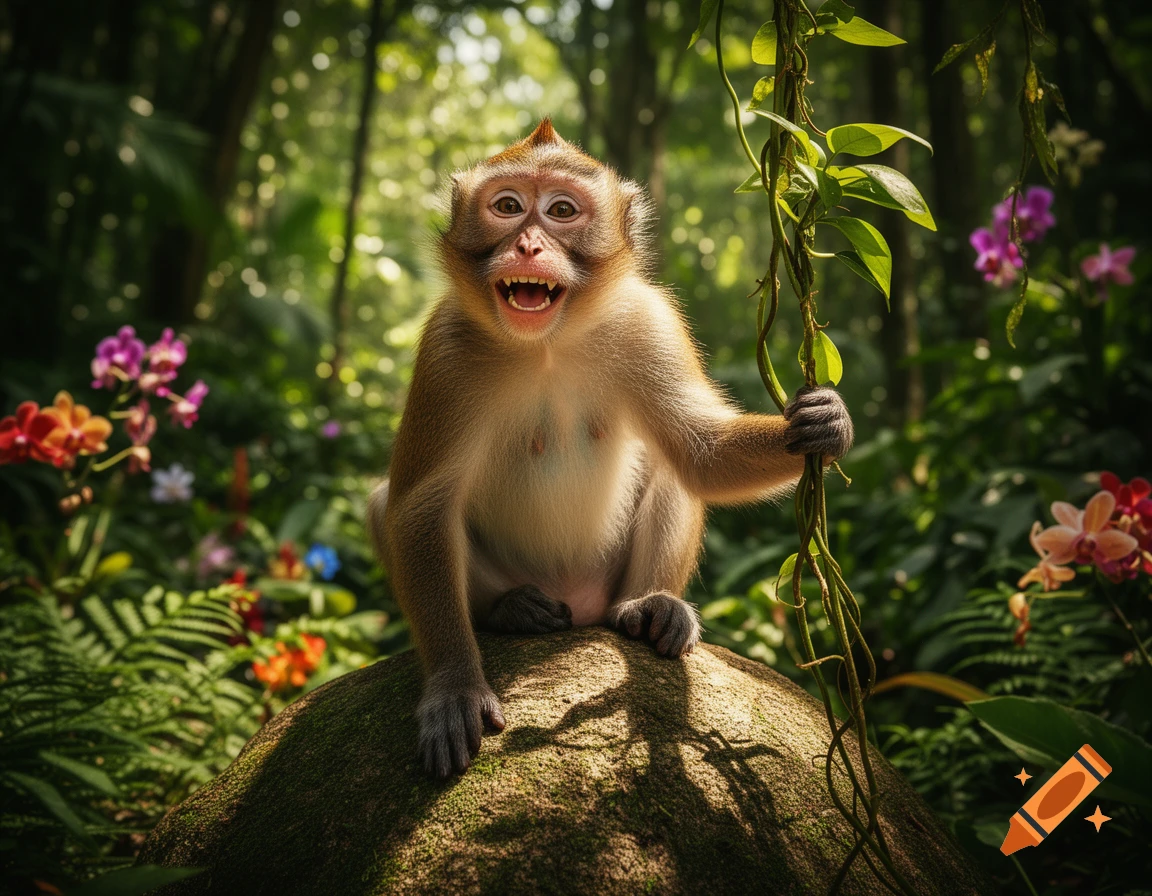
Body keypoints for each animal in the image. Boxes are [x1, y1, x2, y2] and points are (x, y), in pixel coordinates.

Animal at [367, 120, 853, 778]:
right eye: (508, 207)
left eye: (562, 211)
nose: (528, 246)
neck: (546, 342)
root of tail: (583, 608)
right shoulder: (446, 352)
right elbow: (420, 507)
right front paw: (453, 686)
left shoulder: (648, 321)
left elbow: (700, 452)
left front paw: (825, 424)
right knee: (384, 506)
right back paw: (511, 609)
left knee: (672, 473)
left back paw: (647, 608)